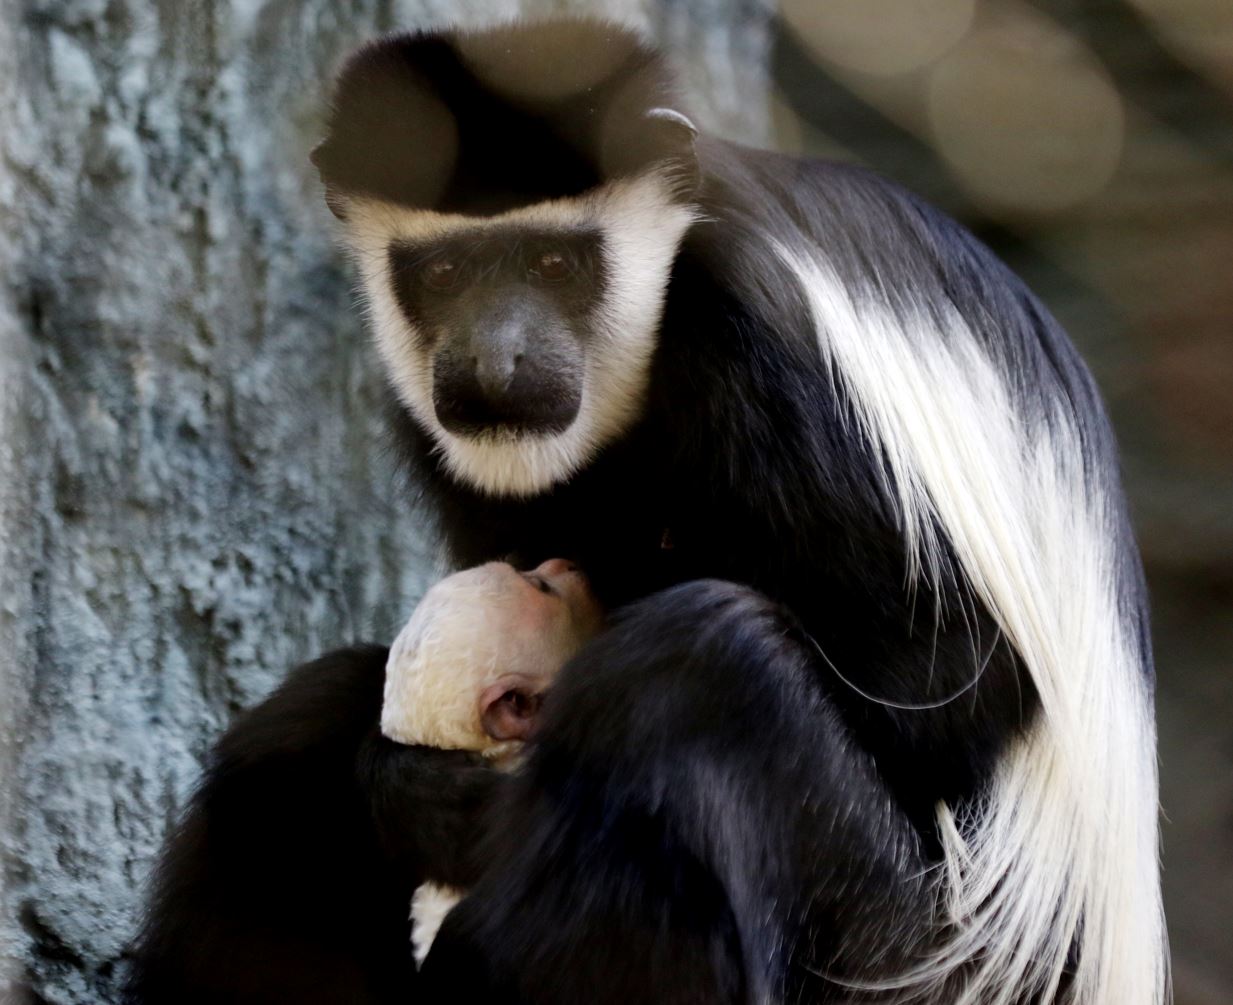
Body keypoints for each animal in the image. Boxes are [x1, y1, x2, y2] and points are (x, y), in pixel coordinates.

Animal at [322, 16, 1163, 1004]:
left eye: (554, 262)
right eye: (444, 272)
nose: (495, 361)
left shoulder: (762, 345)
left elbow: (959, 670)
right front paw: (416, 789)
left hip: (910, 947)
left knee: (713, 657)